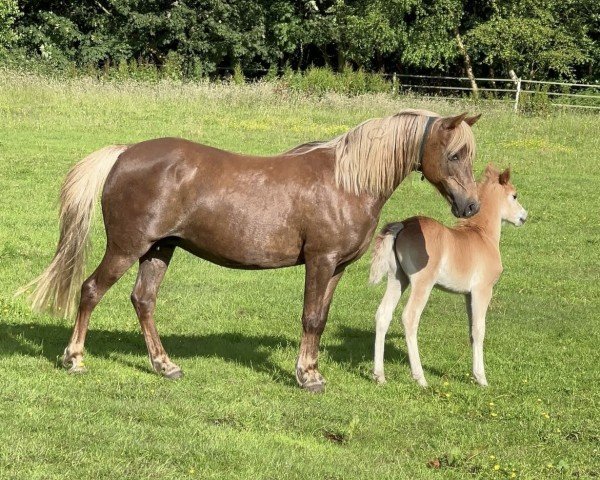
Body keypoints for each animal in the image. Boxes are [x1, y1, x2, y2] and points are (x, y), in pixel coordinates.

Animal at [22, 108, 482, 390]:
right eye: (455, 154)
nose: (470, 206)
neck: (346, 181)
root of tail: (124, 154)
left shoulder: (336, 269)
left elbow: (321, 319)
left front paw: (312, 370)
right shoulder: (320, 262)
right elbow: (311, 318)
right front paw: (306, 377)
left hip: (159, 250)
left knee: (143, 301)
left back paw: (165, 365)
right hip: (126, 248)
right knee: (90, 291)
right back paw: (75, 358)